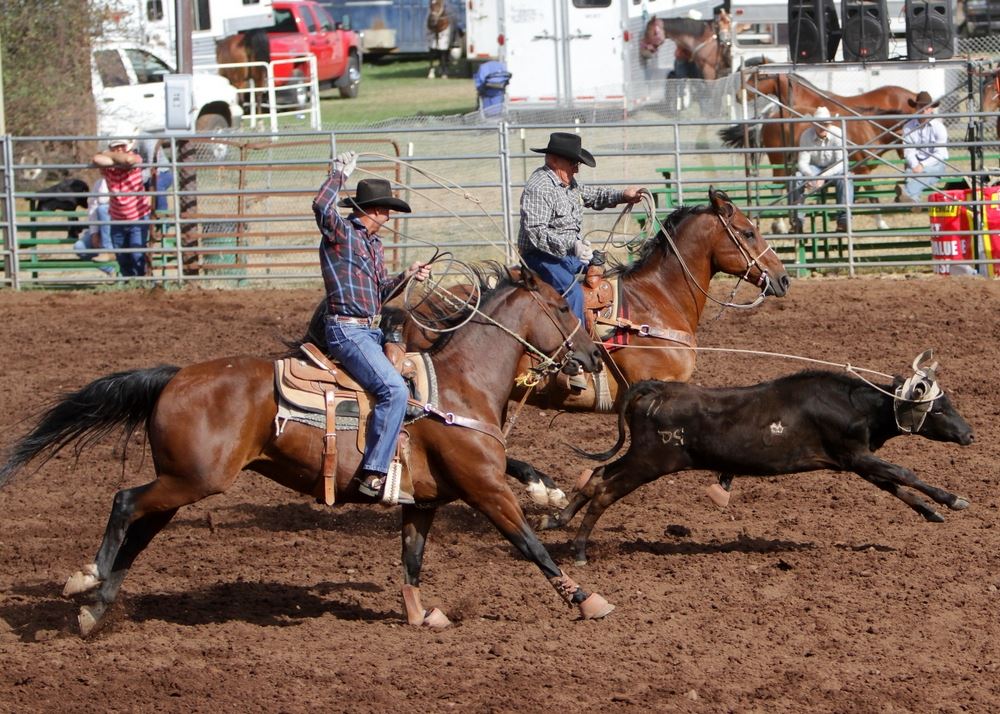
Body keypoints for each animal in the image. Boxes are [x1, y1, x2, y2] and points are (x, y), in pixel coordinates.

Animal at [538, 352, 975, 564]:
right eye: (938, 410)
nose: (970, 434)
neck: (856, 404)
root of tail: (656, 389)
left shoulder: (856, 461)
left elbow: (894, 485)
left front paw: (931, 512)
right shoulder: (854, 454)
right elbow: (904, 473)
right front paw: (953, 500)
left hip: (640, 457)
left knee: (597, 474)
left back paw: (556, 520)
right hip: (651, 461)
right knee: (605, 491)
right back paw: (579, 550)